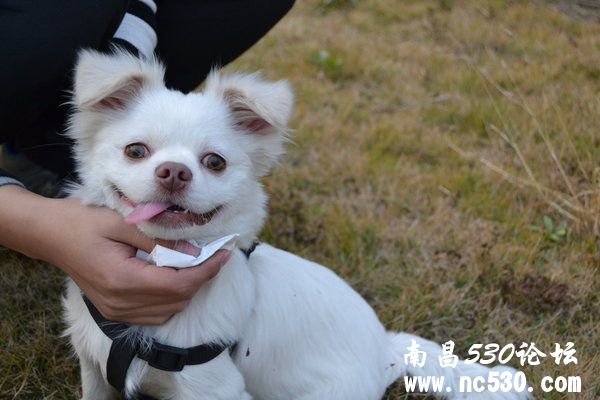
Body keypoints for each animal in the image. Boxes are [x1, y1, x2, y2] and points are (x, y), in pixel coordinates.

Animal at [62, 50, 528, 400]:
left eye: (214, 162)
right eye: (135, 151)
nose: (174, 172)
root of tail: (387, 349)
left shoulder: (213, 388)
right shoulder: (94, 365)